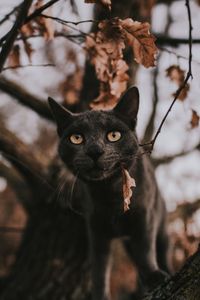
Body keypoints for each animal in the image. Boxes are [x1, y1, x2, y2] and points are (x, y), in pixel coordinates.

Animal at [47, 86, 170, 298]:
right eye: (76, 138)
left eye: (114, 135)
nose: (94, 151)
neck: (110, 194)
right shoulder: (97, 230)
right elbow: (99, 270)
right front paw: (100, 295)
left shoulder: (145, 217)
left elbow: (146, 250)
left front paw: (154, 276)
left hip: (161, 230)